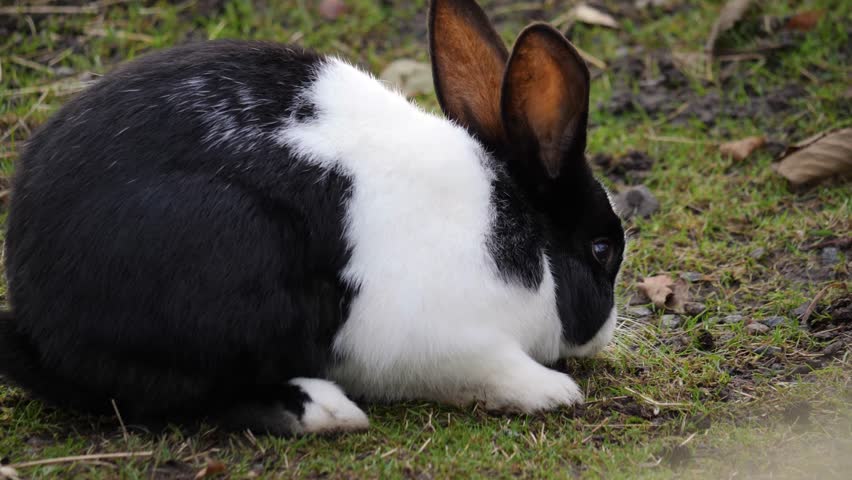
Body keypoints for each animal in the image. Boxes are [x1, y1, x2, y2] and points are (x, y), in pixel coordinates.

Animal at [0, 0, 624, 436]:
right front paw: (553, 391)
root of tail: (40, 321)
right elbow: (495, 367)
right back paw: (323, 410)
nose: (607, 332)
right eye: (602, 251)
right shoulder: (452, 340)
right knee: (178, 393)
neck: (520, 232)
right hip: (233, 270)